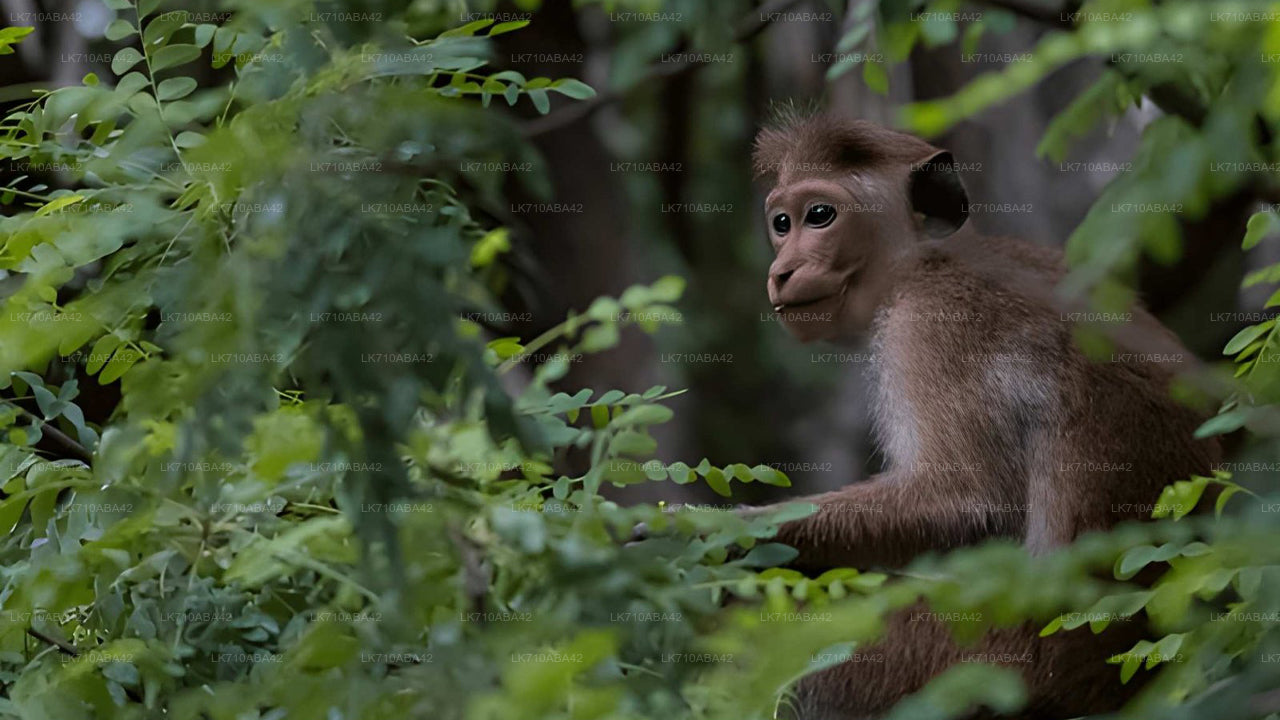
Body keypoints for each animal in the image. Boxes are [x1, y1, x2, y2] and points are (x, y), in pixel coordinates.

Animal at [745, 113, 1221, 719]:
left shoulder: (926, 327)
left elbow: (966, 501)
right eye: (782, 223)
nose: (781, 270)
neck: (924, 262)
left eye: (820, 216)